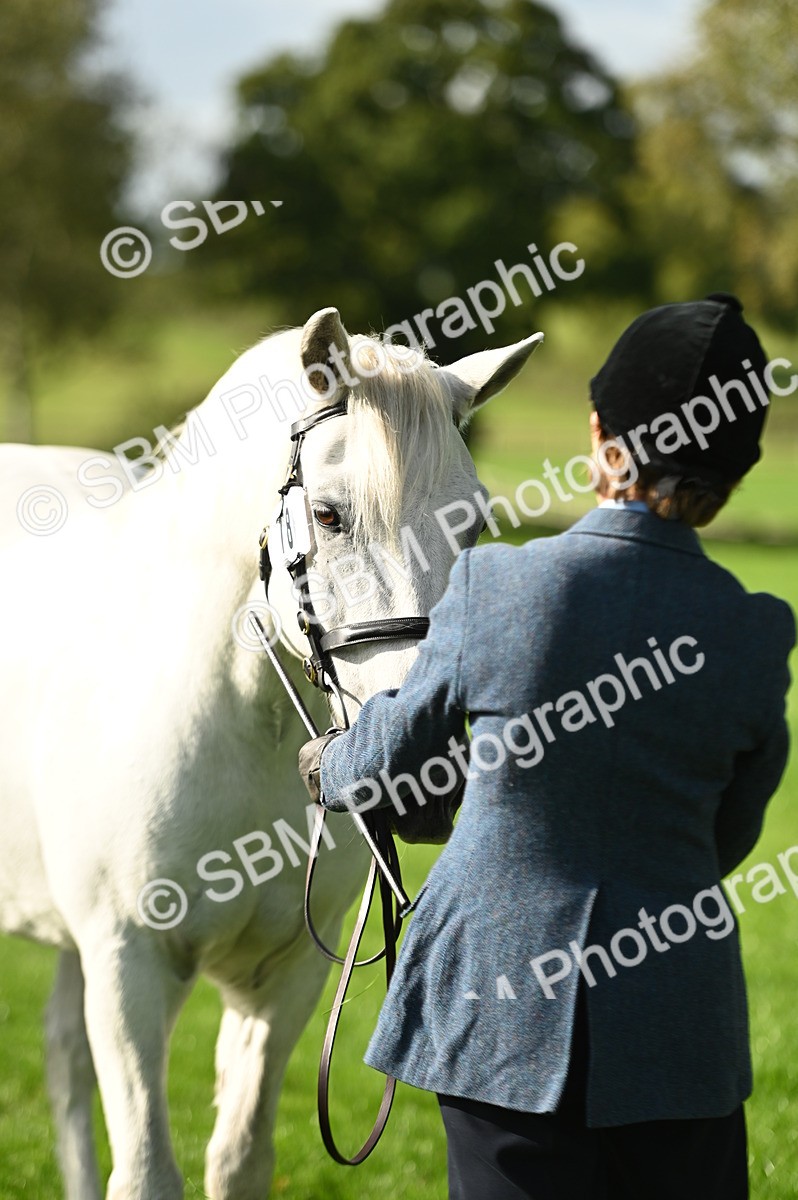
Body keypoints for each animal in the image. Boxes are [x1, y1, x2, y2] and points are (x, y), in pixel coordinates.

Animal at [0, 306, 542, 1199]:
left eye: (473, 522)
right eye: (328, 516)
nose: (424, 769)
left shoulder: (282, 979)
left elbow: (240, 1158)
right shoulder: (130, 966)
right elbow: (146, 1171)